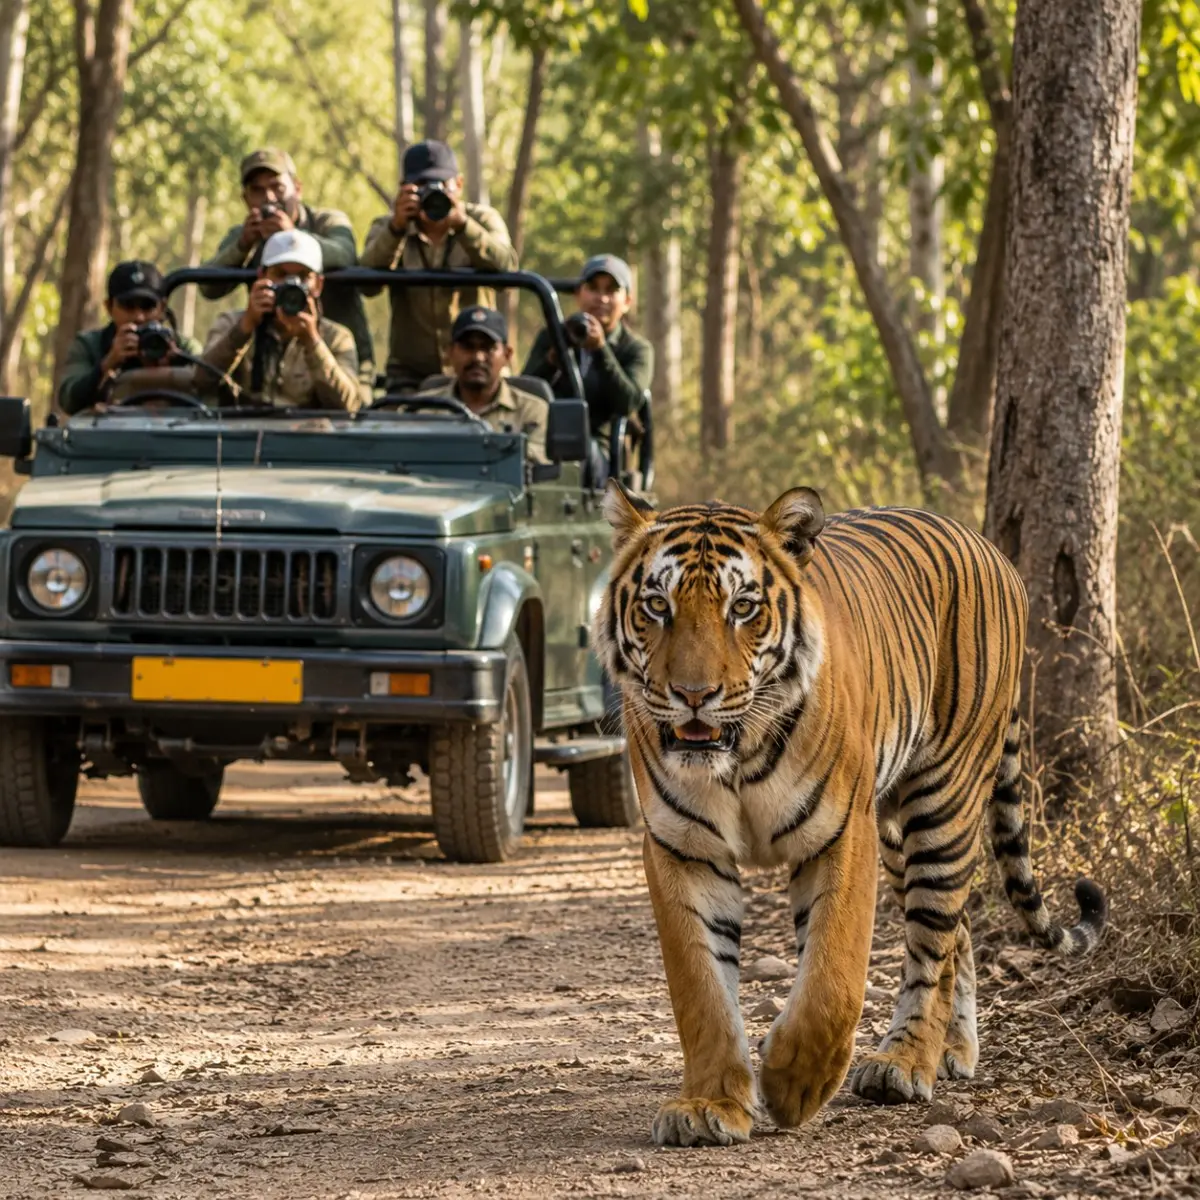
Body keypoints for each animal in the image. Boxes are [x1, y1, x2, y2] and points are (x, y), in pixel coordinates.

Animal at [593, 481, 1107, 1148]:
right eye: (656, 605)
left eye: (742, 608)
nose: (693, 695)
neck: (737, 754)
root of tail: (992, 550)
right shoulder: (682, 846)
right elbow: (700, 988)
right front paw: (709, 1105)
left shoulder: (841, 834)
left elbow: (832, 976)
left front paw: (794, 1083)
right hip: (897, 832)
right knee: (960, 931)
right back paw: (952, 1051)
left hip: (942, 803)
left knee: (932, 943)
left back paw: (905, 1064)